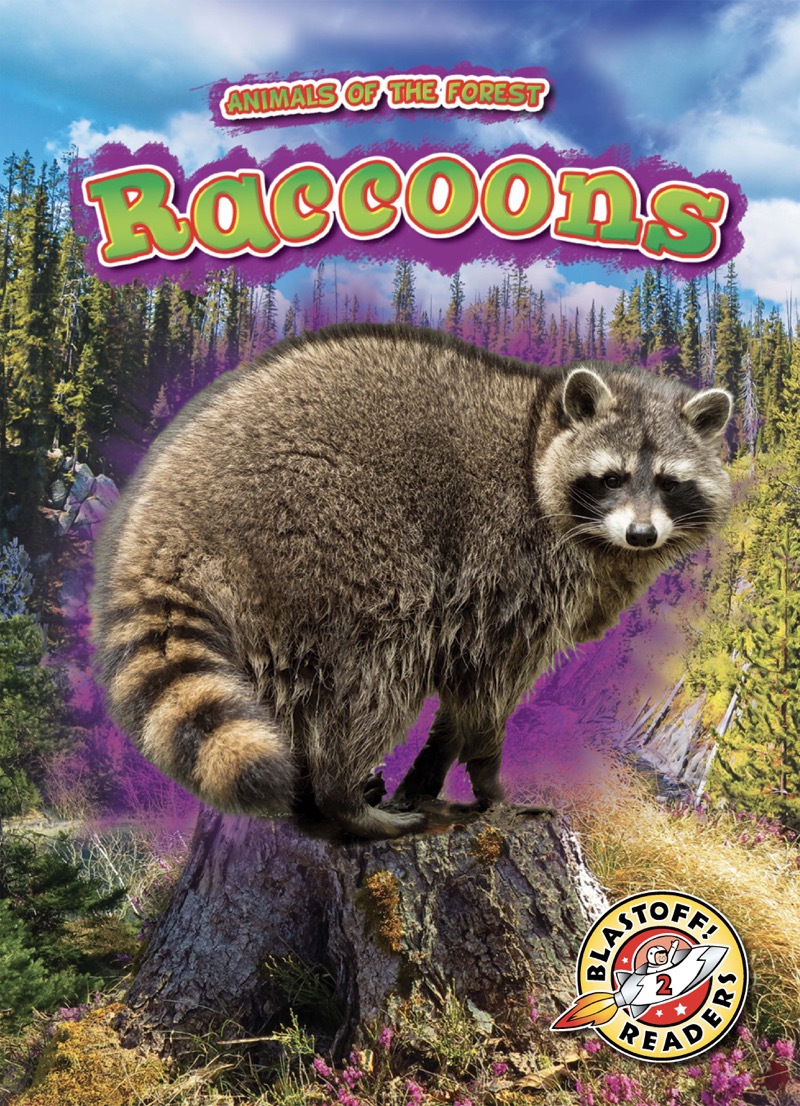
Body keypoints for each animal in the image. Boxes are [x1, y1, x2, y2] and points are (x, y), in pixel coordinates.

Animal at [91, 324, 732, 838]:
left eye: (669, 482)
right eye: (611, 477)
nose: (642, 535)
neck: (540, 436)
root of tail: (165, 513)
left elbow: (460, 687)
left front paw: (427, 773)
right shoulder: (515, 572)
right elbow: (486, 693)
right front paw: (491, 784)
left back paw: (317, 802)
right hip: (329, 542)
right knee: (373, 675)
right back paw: (341, 797)